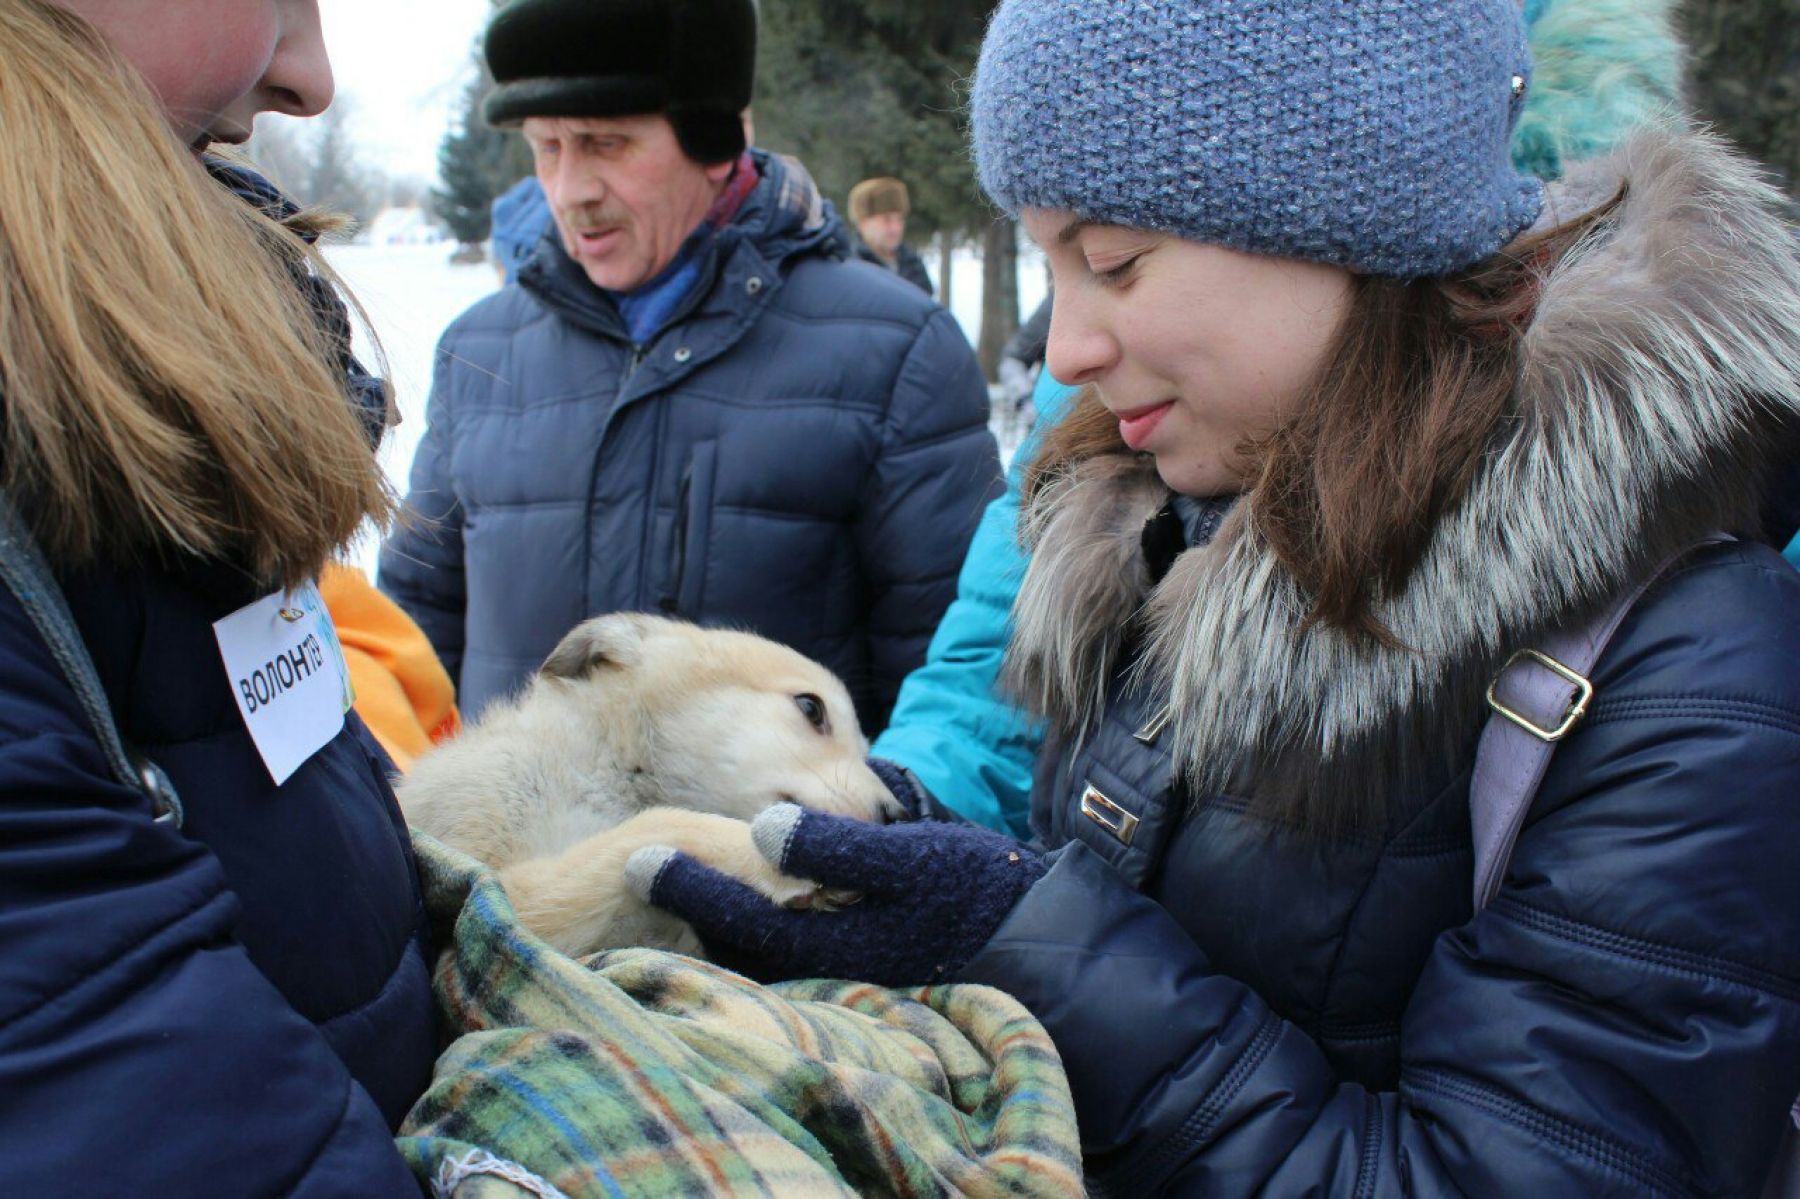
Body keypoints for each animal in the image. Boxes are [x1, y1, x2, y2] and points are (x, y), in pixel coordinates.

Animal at [397, 612, 896, 957]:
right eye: (811, 708)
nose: (899, 814)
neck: (602, 766)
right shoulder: (499, 891)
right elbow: (666, 821)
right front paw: (769, 859)